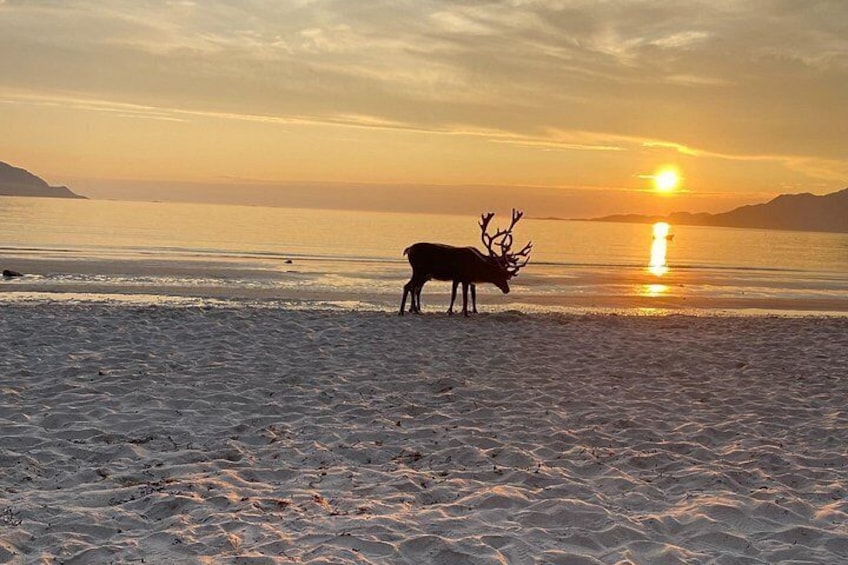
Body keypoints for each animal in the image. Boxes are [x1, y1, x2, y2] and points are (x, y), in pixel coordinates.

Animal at [399, 209, 532, 316]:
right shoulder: (463, 278)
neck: (478, 266)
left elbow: (464, 296)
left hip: (422, 273)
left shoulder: (462, 279)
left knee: (412, 287)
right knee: (409, 286)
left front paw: (461, 312)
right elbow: (463, 297)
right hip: (419, 271)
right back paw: (404, 311)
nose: (507, 289)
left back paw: (413, 310)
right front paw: (464, 314)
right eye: (499, 273)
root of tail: (409, 249)